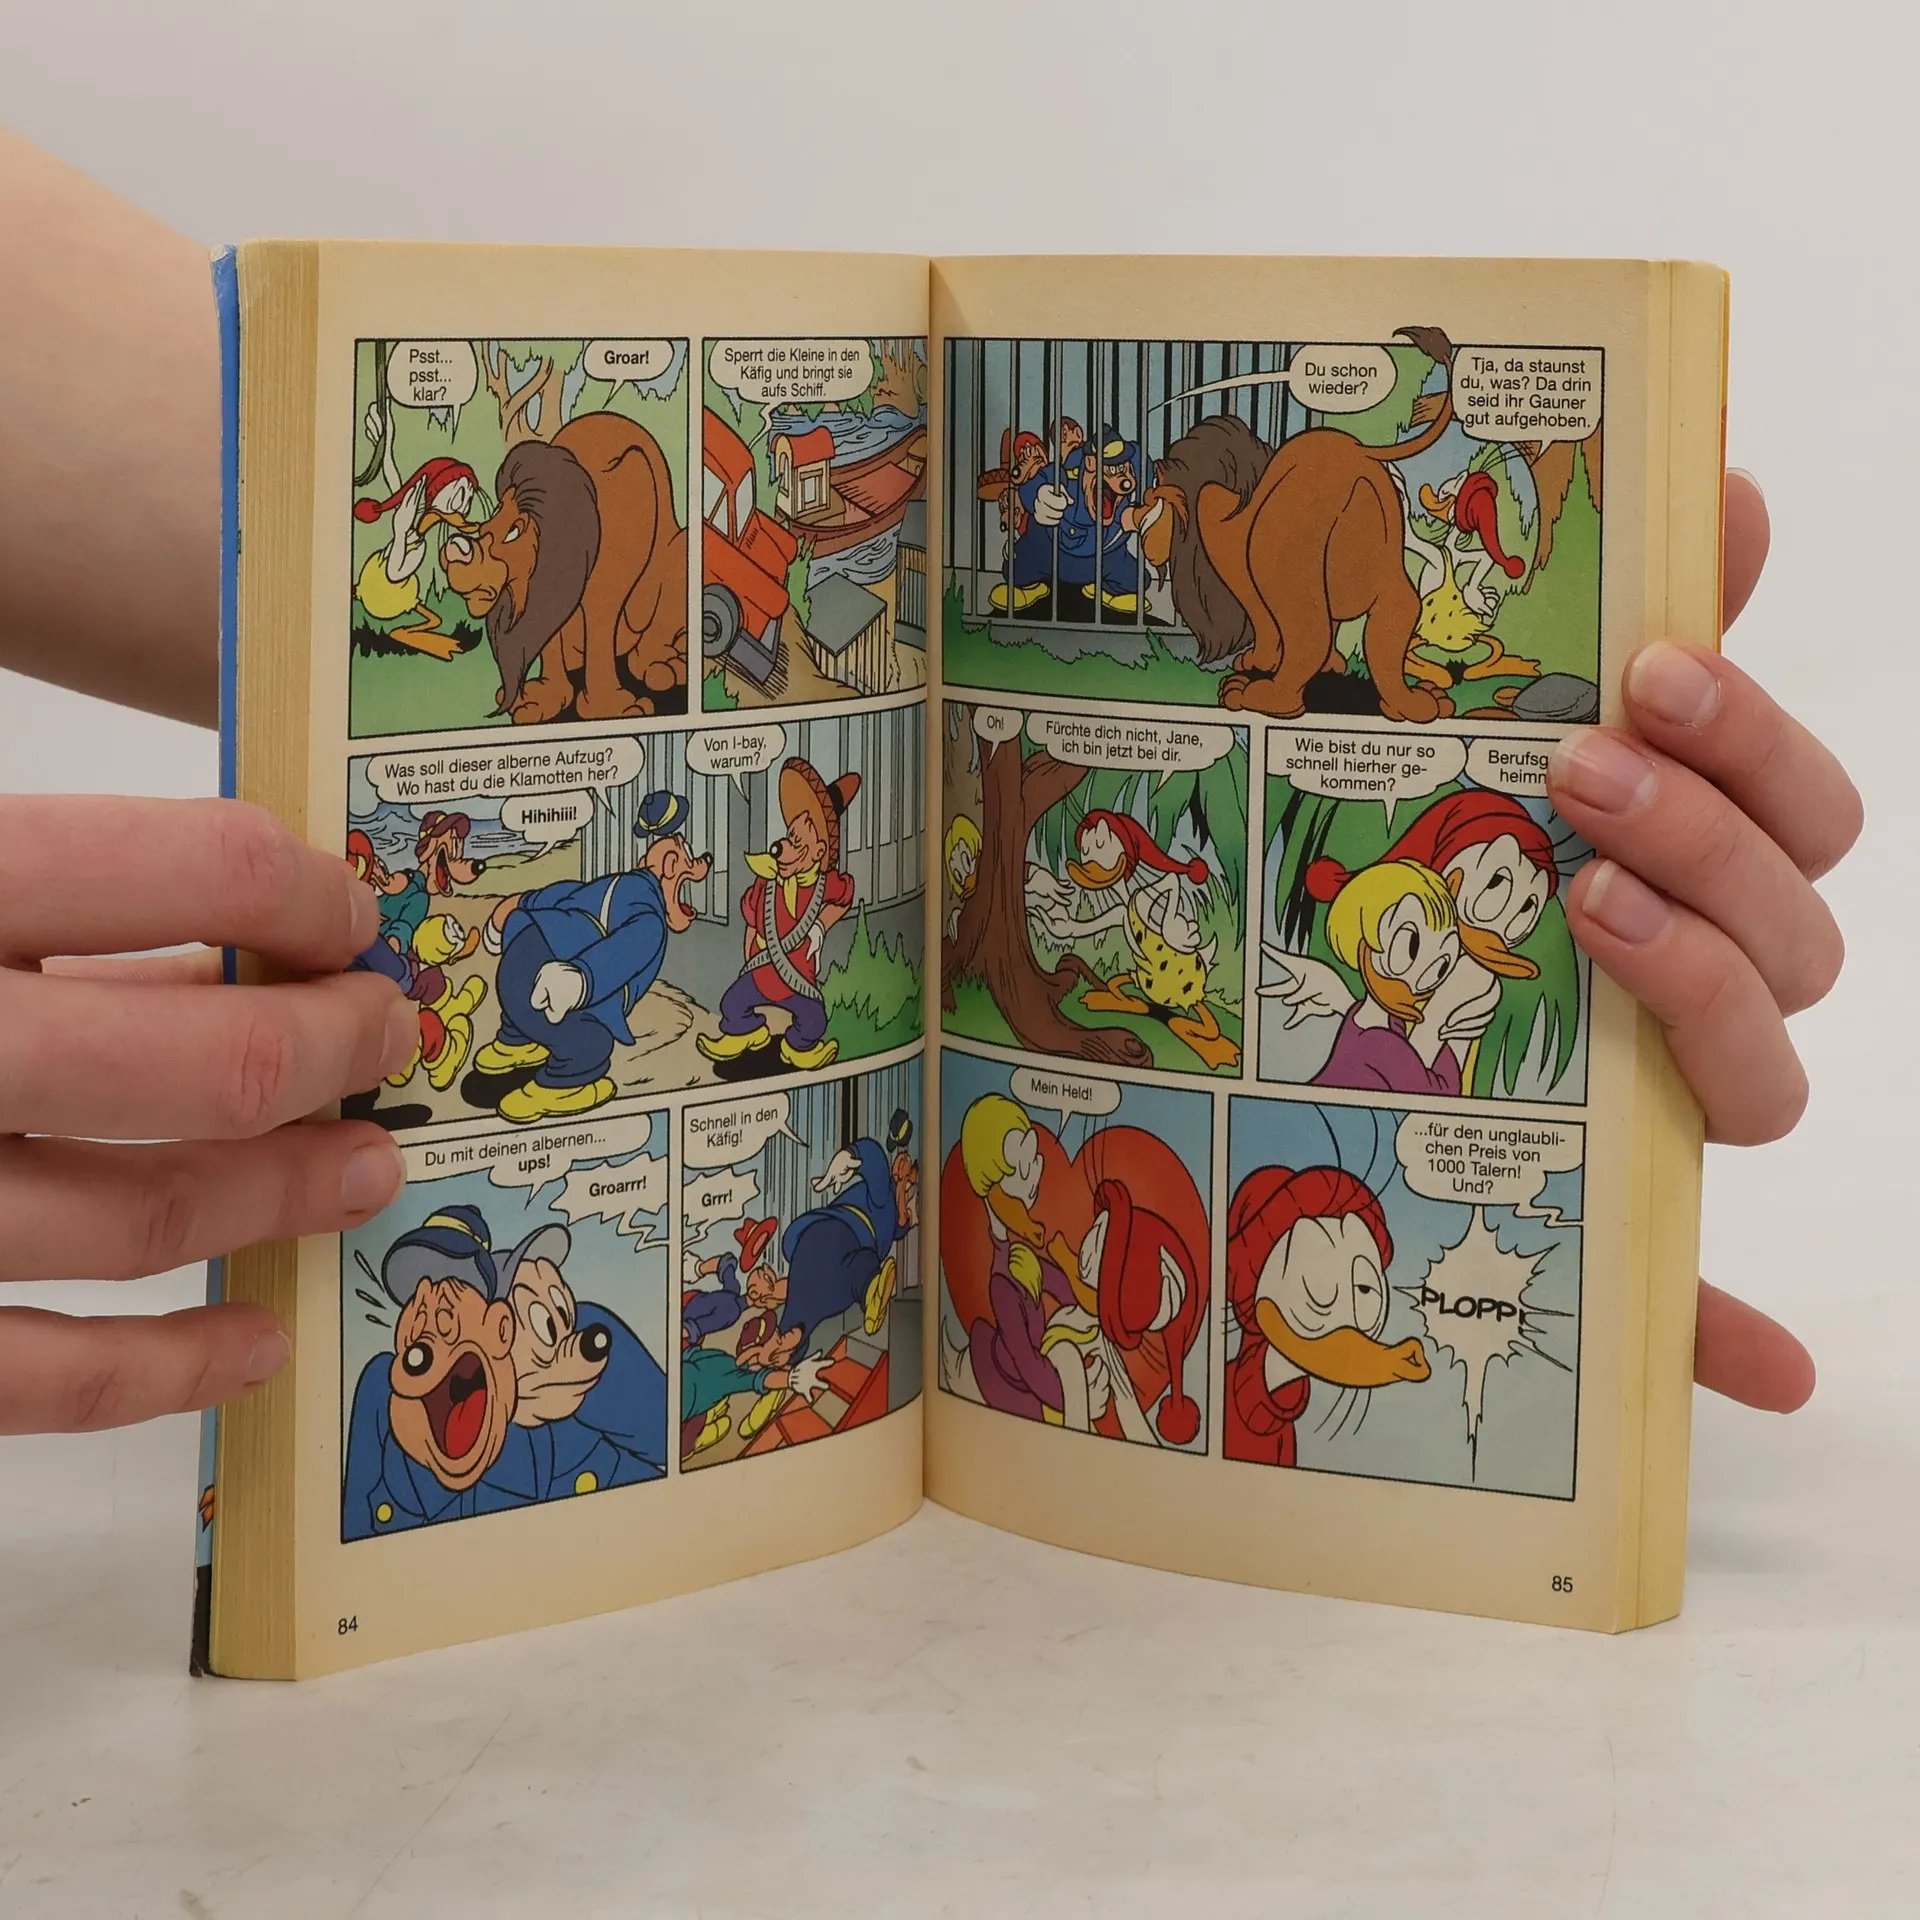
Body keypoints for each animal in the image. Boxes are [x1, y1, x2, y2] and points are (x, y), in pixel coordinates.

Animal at [443, 411, 688, 724]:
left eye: (514, 531)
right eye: (491, 520)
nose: (454, 548)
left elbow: (600, 621)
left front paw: (611, 708)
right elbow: (549, 631)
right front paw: (543, 699)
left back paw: (663, 665)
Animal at [1136, 327, 1459, 723]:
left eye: (1153, 503)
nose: (1137, 523)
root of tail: (1358, 451)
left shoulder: (1228, 545)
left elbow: (1262, 616)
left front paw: (1260, 662)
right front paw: (1329, 665)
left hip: (1282, 556)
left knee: (1307, 631)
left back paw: (1262, 697)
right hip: (1385, 559)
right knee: (1396, 613)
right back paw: (1414, 704)